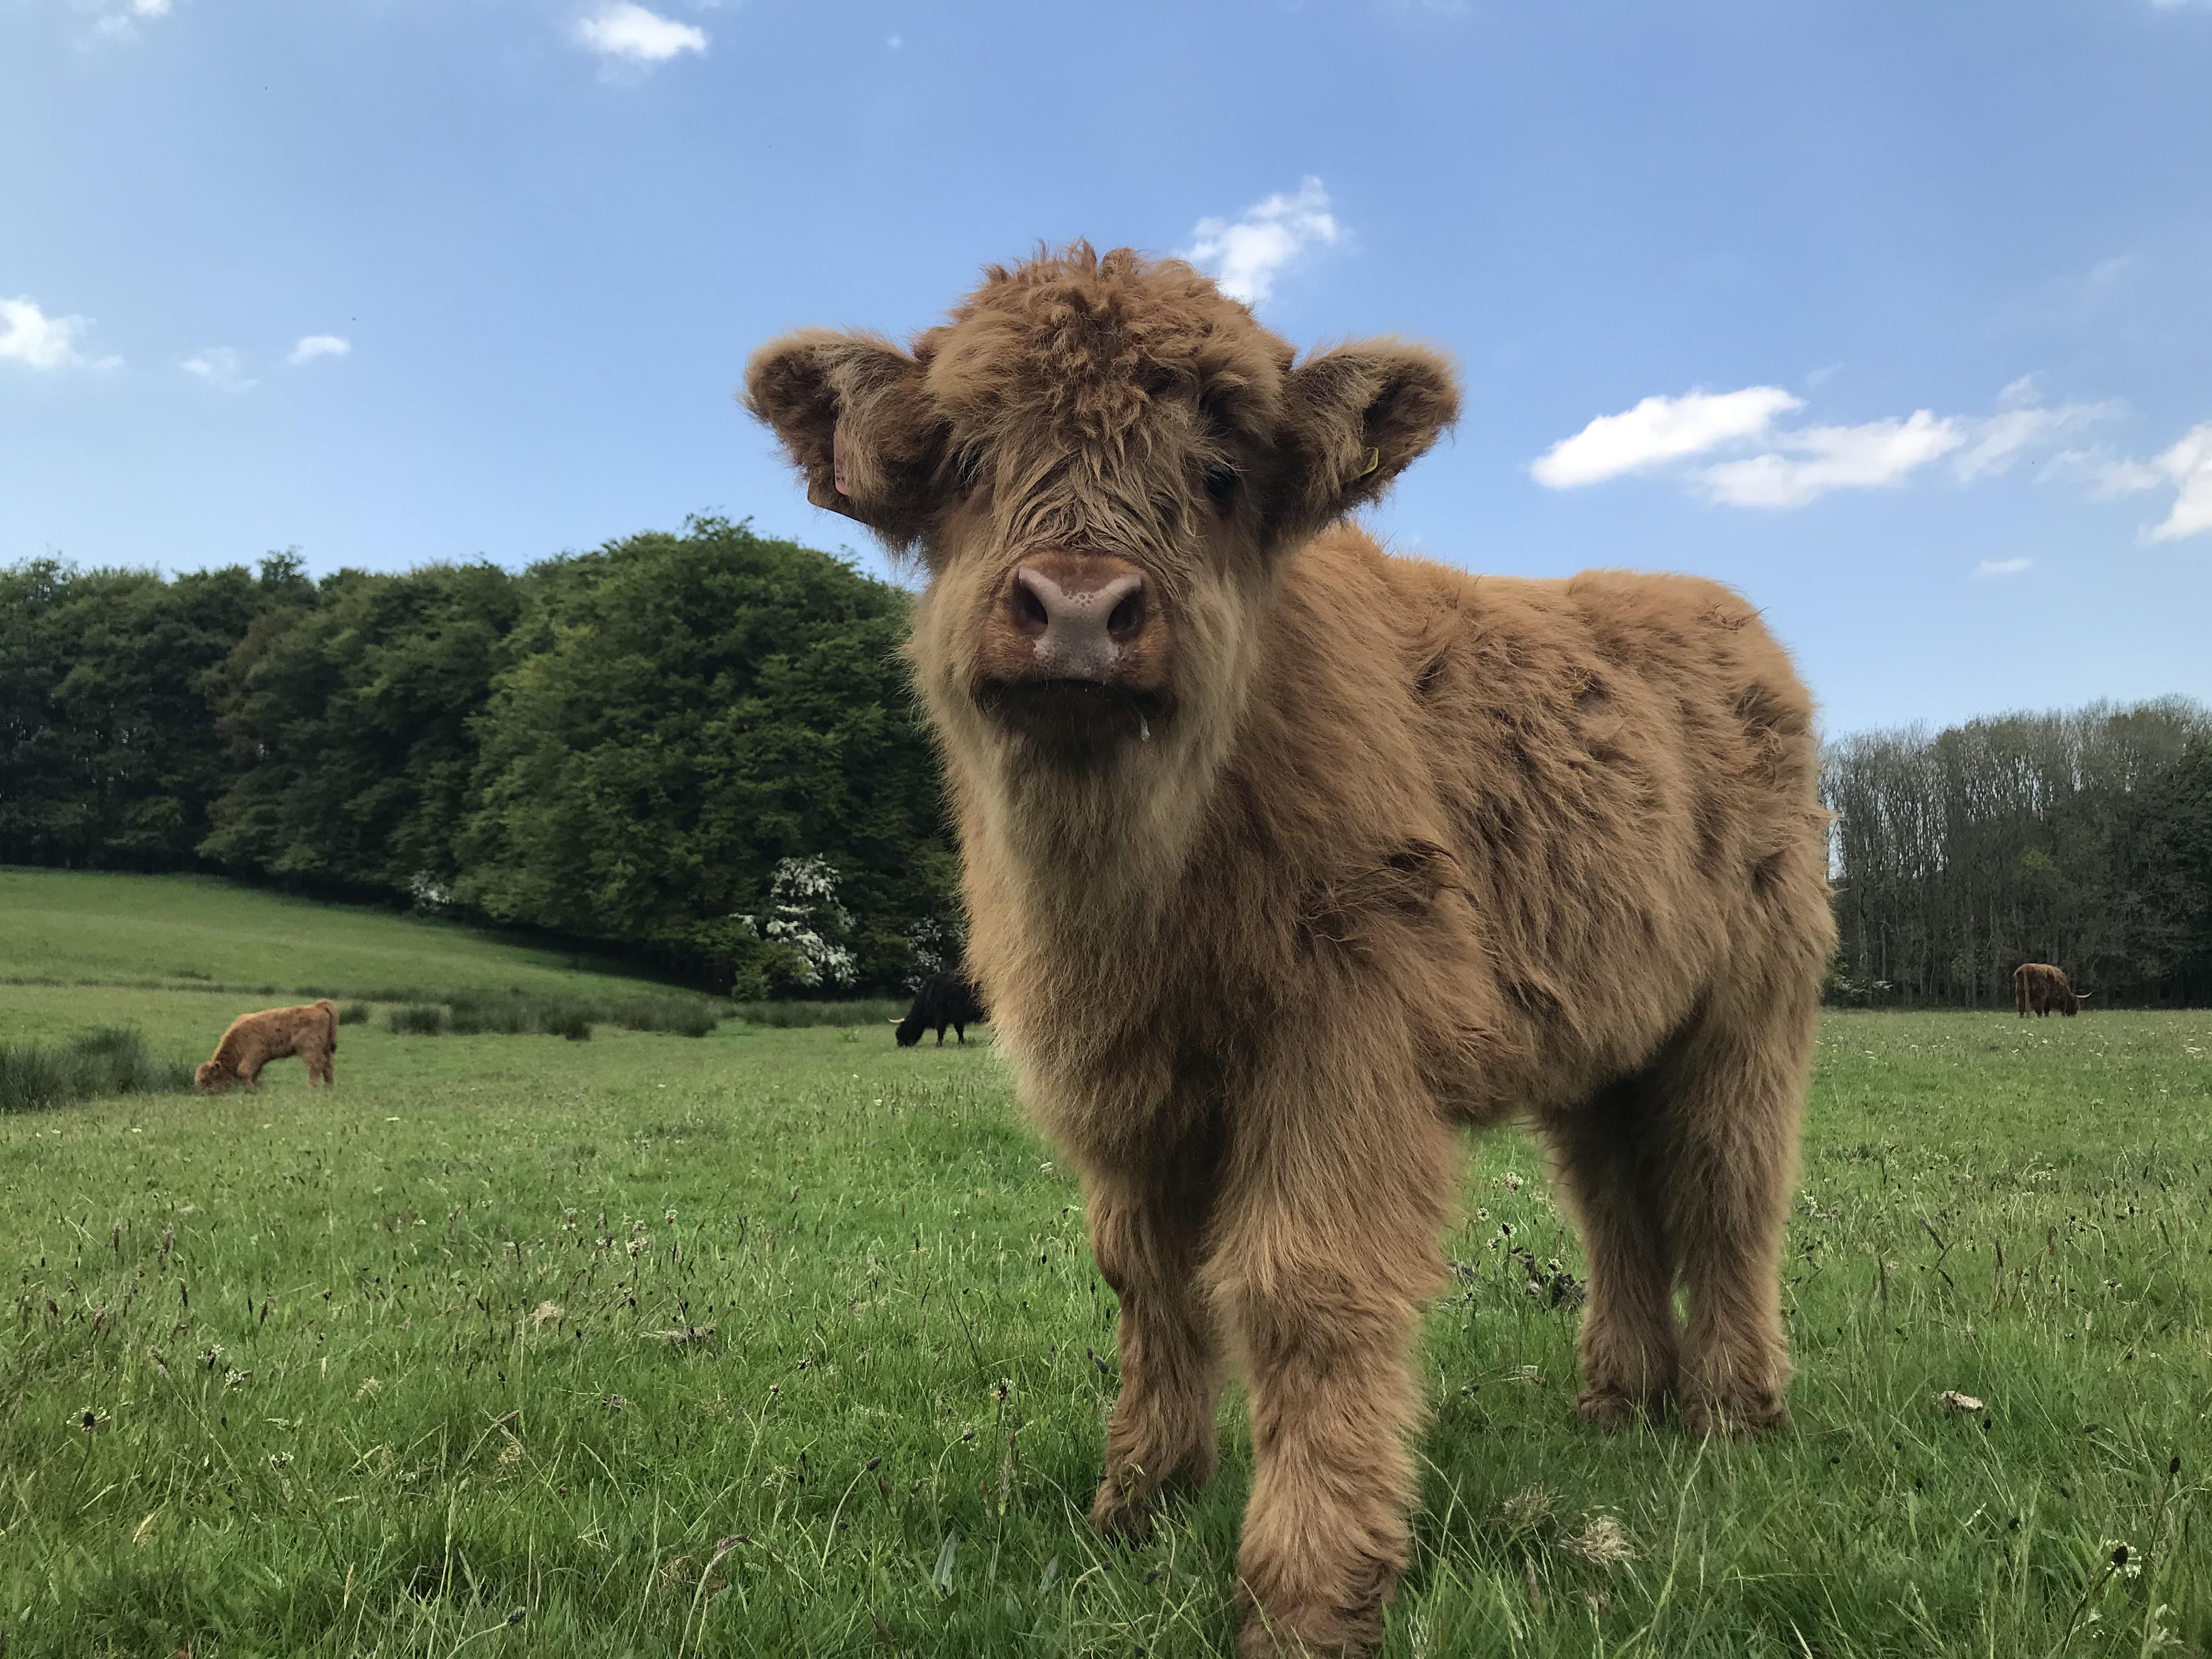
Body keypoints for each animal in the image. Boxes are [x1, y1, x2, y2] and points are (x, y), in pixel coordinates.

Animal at [195, 999, 339, 1094]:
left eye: (206, 1080)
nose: (205, 1094)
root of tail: (317, 1006)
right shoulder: (258, 1061)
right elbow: (254, 1074)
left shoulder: (254, 1055)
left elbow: (244, 1071)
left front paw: (251, 1090)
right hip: (325, 1049)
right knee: (328, 1065)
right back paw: (329, 1088)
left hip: (309, 1049)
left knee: (316, 1066)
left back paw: (311, 1089)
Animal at [895, 969, 987, 1046]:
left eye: (904, 1031)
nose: (900, 1044)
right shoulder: (957, 1018)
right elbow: (959, 1031)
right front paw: (961, 1042)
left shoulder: (941, 1017)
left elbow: (941, 1031)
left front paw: (939, 1044)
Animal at [2013, 962, 2088, 1017]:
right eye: (2075, 1004)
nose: (2074, 1015)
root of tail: (2026, 967)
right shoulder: (2061, 999)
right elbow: (2062, 1009)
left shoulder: (2048, 1000)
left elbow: (2047, 1010)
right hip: (2039, 995)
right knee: (2038, 1008)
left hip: (2020, 992)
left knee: (2021, 1006)